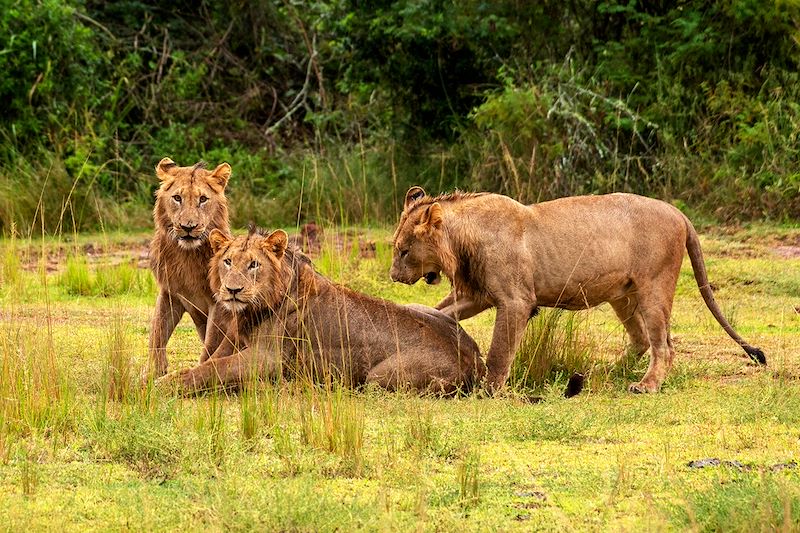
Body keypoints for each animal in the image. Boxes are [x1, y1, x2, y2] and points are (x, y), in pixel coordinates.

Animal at [146, 157, 233, 377]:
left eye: (203, 199)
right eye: (177, 198)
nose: (188, 227)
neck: (187, 256)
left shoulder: (218, 302)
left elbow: (211, 346)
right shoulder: (171, 293)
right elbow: (157, 333)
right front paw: (153, 373)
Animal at [158, 226, 485, 394]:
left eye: (254, 265)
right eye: (227, 262)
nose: (232, 290)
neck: (251, 310)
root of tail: (475, 358)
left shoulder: (266, 359)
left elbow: (211, 369)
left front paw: (163, 385)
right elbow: (208, 363)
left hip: (378, 378)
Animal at [390, 187, 766, 393]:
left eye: (403, 250)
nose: (393, 276)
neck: (461, 240)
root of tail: (679, 213)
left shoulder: (515, 301)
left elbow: (499, 352)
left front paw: (489, 389)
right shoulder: (475, 294)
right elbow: (440, 311)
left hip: (653, 288)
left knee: (664, 345)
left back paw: (646, 385)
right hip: (623, 295)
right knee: (642, 339)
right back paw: (607, 372)